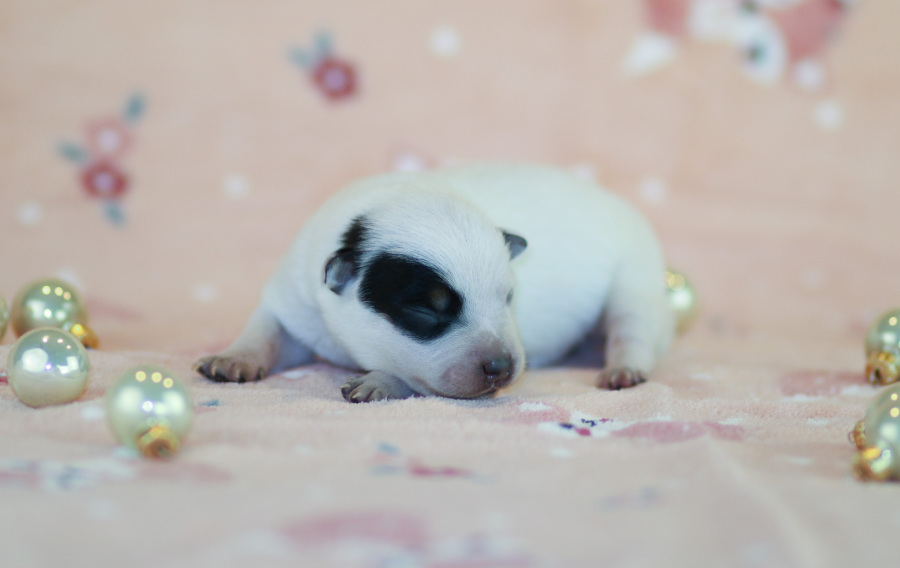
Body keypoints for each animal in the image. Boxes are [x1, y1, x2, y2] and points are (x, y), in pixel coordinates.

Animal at [194, 163, 674, 402]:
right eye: (426, 309)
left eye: (508, 297)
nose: (503, 367)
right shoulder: (295, 298)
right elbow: (266, 329)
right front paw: (233, 358)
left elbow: (416, 379)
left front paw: (380, 382)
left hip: (635, 277)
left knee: (632, 329)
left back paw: (623, 368)